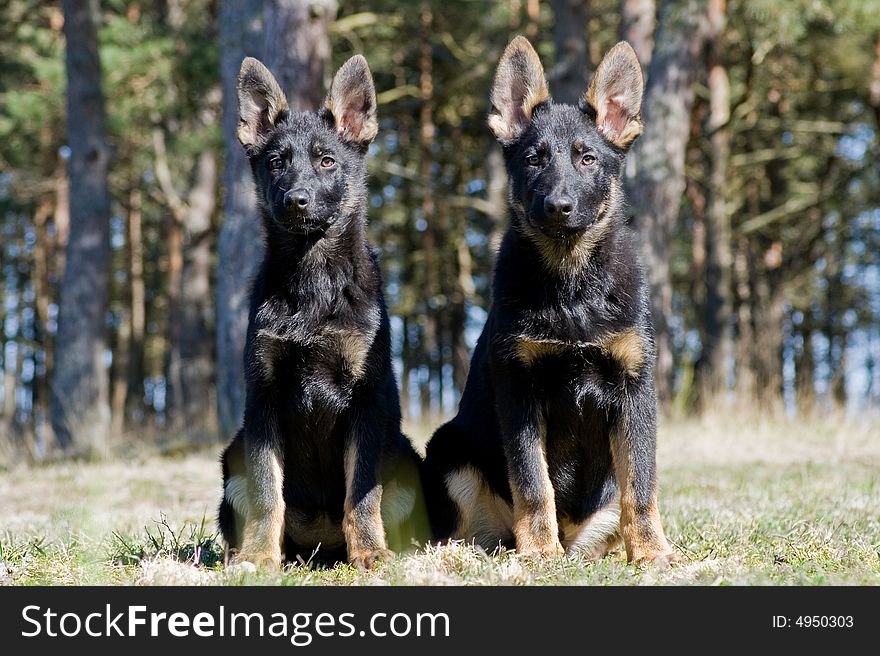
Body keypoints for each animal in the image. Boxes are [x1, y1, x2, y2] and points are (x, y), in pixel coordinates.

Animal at [219, 55, 426, 568]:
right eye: (277, 163)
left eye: (326, 161)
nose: (296, 200)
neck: (315, 282)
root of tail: (320, 545)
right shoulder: (264, 402)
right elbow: (267, 491)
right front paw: (259, 555)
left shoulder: (365, 402)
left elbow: (361, 494)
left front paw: (370, 552)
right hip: (232, 454)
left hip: (406, 459)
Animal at [422, 38, 676, 568]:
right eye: (533, 160)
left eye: (587, 159)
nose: (558, 207)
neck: (572, 288)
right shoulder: (519, 392)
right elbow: (532, 482)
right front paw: (540, 550)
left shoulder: (635, 390)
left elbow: (640, 485)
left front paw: (651, 551)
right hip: (449, 448)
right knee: (469, 530)